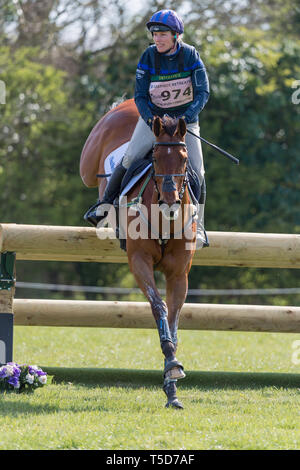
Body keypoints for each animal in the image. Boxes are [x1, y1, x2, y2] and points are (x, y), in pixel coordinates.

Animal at [79, 99, 197, 408]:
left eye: (184, 158)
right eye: (154, 158)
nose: (170, 201)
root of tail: (129, 104)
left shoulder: (179, 274)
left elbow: (174, 317)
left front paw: (172, 382)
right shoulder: (139, 262)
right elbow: (159, 307)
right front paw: (171, 365)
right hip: (89, 164)